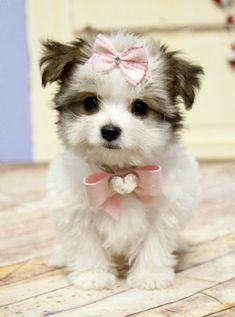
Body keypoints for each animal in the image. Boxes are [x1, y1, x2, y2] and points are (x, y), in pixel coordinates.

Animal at [40, 31, 202, 288]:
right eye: (90, 103)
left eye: (140, 107)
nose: (110, 131)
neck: (119, 171)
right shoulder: (75, 209)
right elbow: (85, 242)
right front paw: (93, 274)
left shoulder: (166, 207)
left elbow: (155, 241)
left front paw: (150, 274)